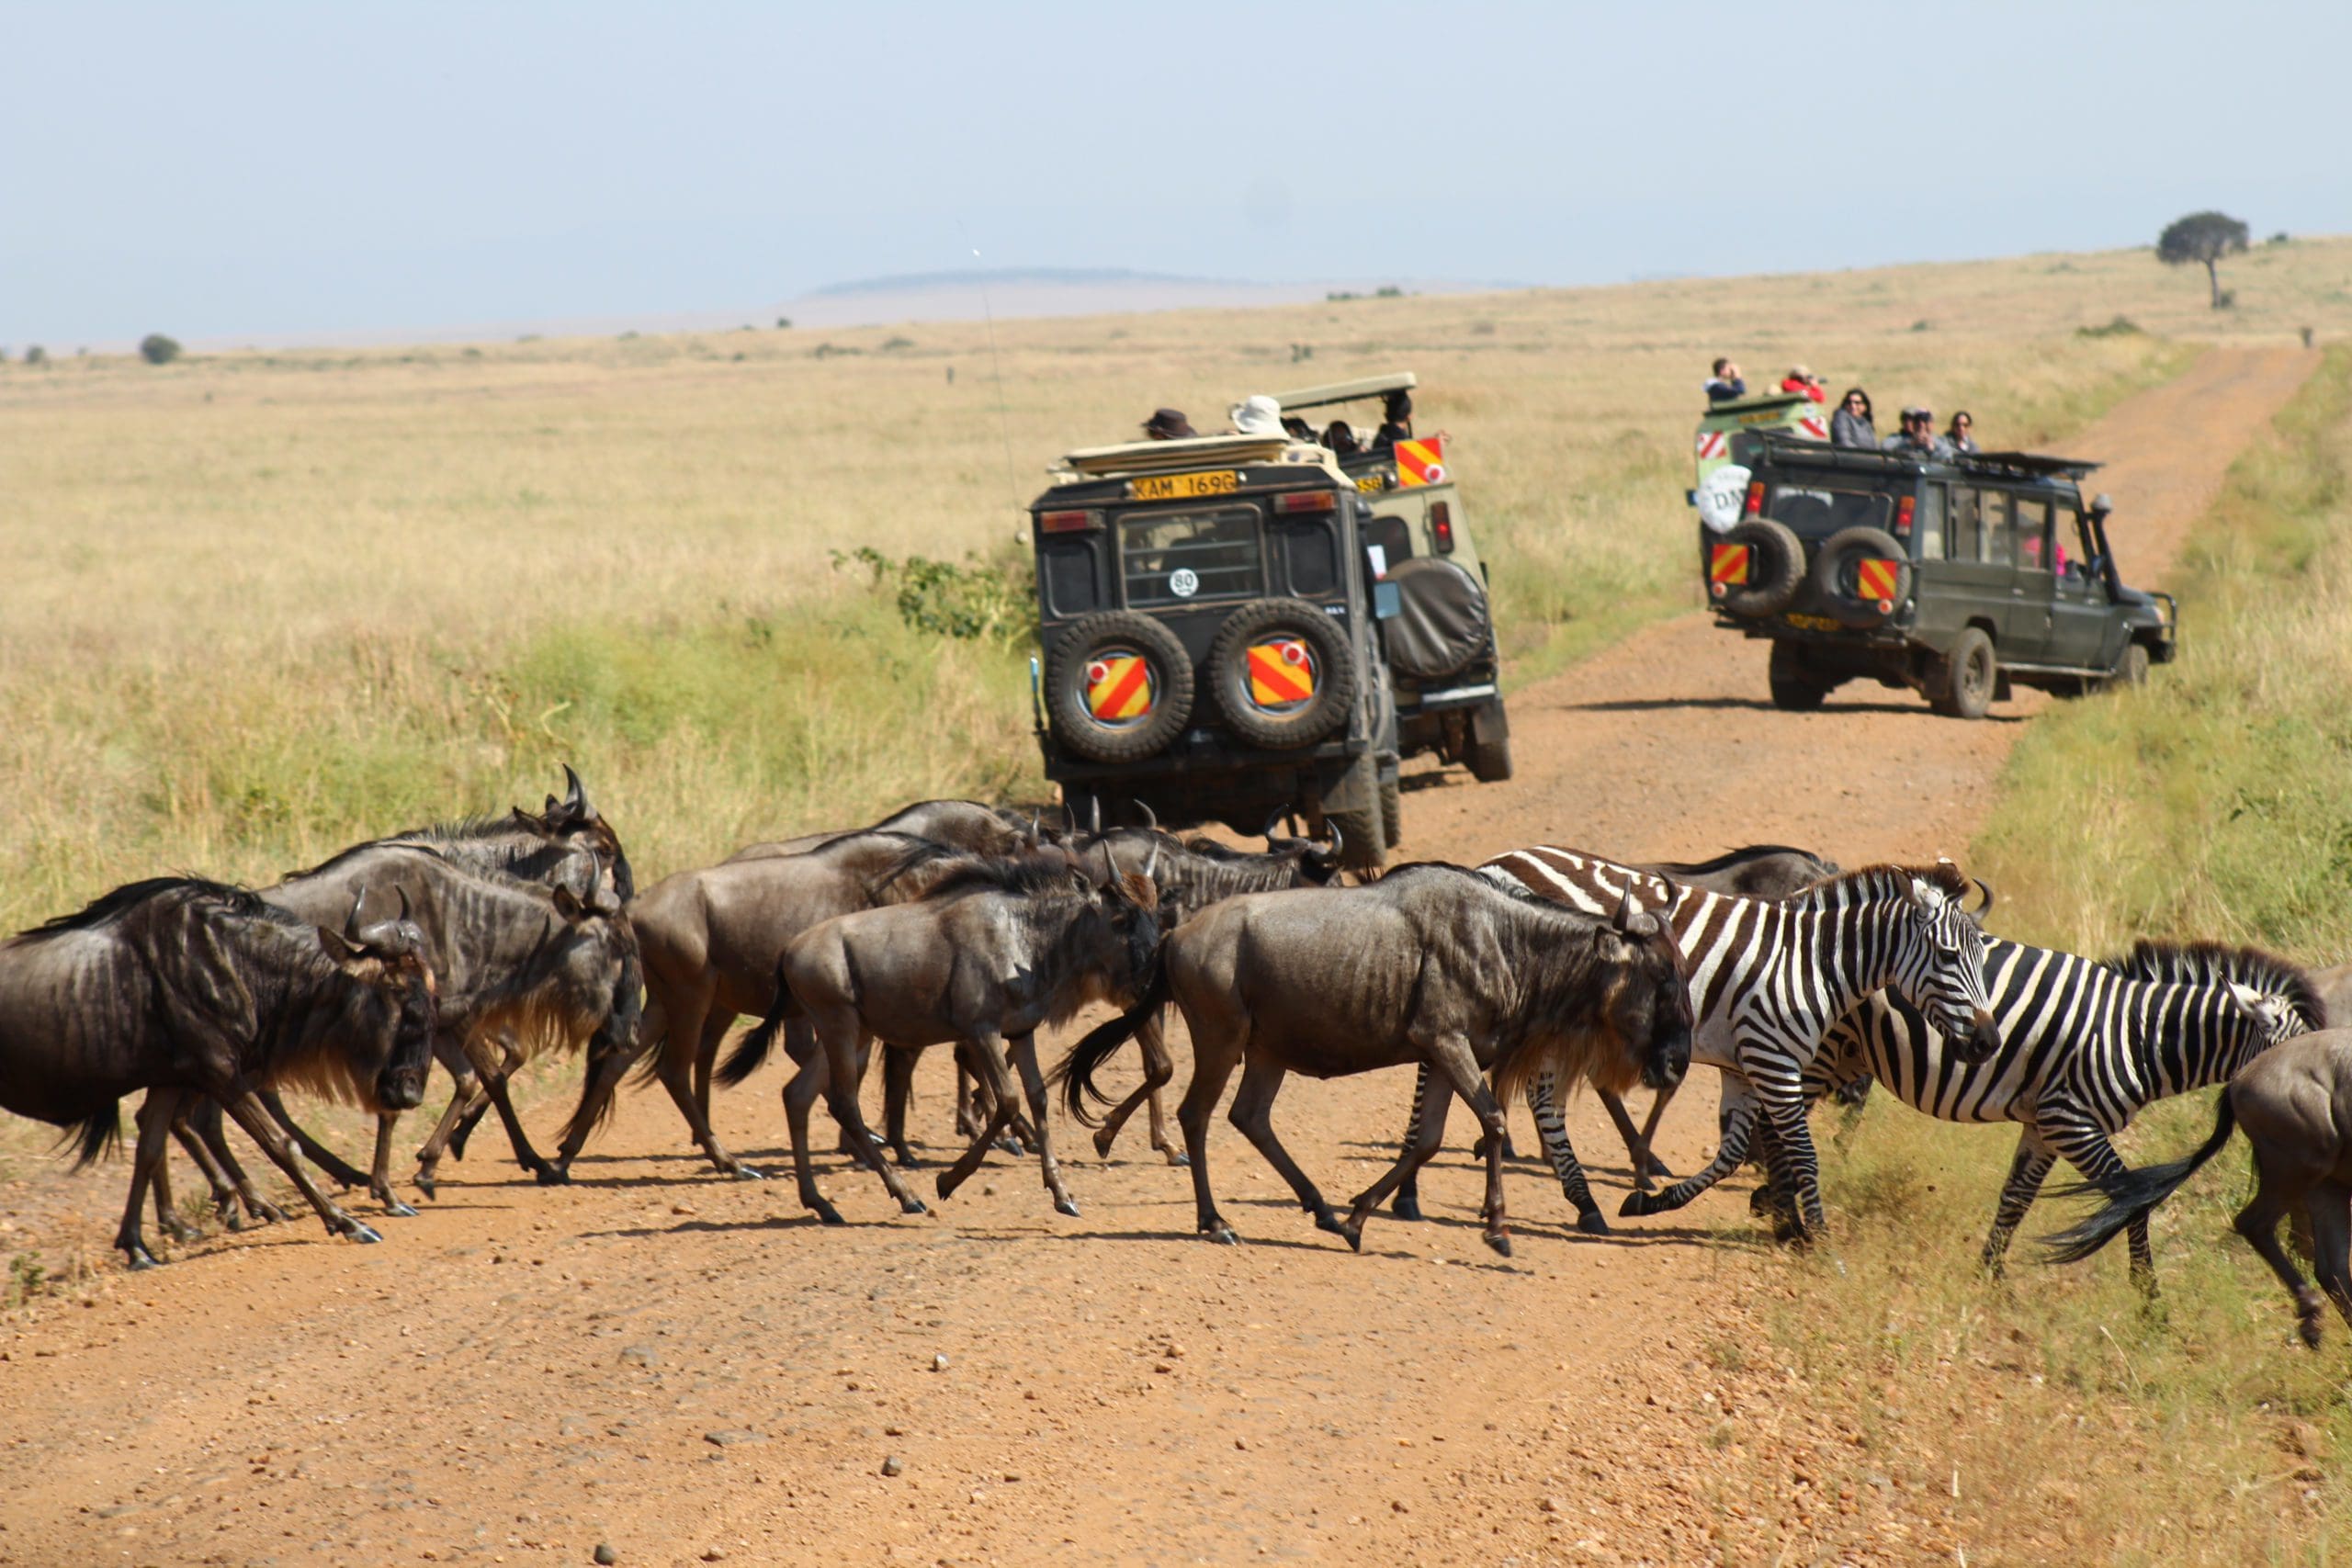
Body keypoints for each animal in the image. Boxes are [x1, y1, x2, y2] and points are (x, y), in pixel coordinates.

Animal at [1392, 851, 2004, 1241]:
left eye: (1980, 956)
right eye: (1950, 957)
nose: (1988, 1041)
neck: (1809, 960)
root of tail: (1494, 863)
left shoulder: (1748, 1064)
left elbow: (1736, 1150)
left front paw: (1659, 1200)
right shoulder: (1773, 1059)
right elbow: (1794, 1149)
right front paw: (1810, 1232)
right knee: (1475, 1078)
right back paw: (1415, 1191)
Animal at [1769, 940, 2324, 1279]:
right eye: (2293, 1064)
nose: (2319, 1131)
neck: (2137, 1036)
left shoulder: (2042, 1125)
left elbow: (2015, 1201)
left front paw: (1989, 1277)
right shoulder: (2070, 1121)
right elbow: (2131, 1204)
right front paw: (2150, 1304)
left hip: (1845, 1053)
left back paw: (1778, 1212)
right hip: (1821, 1049)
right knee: (1775, 1121)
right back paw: (1785, 1219)